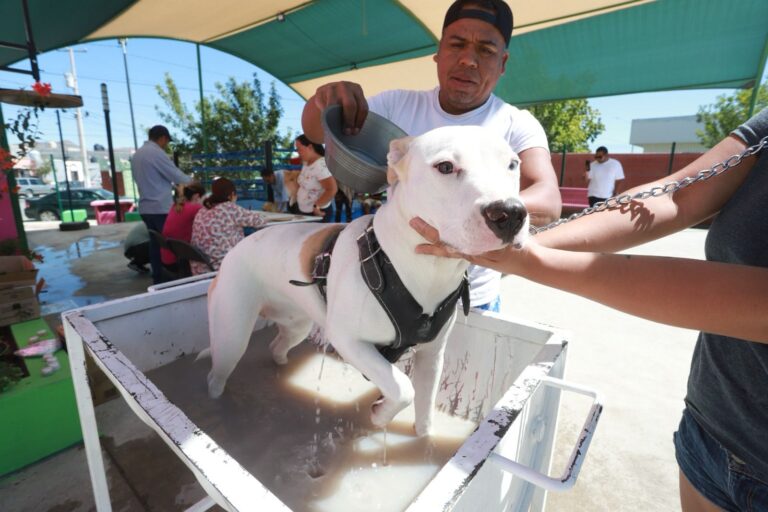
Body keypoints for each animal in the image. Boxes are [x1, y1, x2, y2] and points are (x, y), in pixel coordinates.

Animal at [204, 125, 528, 436]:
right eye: (445, 167)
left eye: (513, 164)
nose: (511, 213)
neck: (429, 270)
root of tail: (238, 247)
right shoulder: (349, 341)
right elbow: (402, 388)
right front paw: (381, 414)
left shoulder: (432, 355)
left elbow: (424, 413)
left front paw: (420, 439)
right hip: (232, 336)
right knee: (217, 373)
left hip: (296, 325)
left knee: (277, 346)